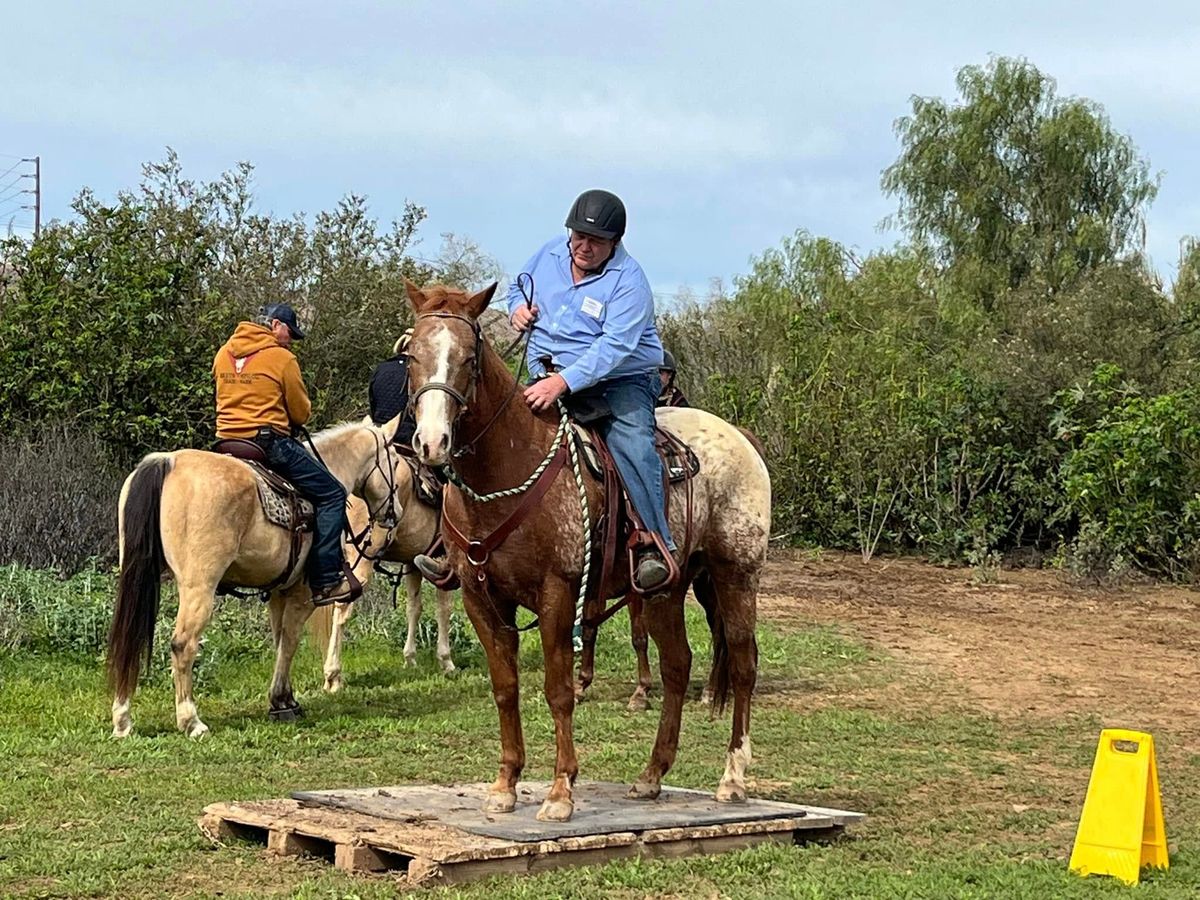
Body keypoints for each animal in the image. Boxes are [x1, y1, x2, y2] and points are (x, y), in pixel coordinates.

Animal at [108, 417, 408, 739]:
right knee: (182, 645)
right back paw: (191, 721)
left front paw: (286, 699)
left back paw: (123, 719)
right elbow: (290, 640)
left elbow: (279, 642)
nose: (397, 512)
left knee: (129, 638)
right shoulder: (302, 594)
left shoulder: (279, 592)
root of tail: (168, 461)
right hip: (199, 587)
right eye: (394, 461)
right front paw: (281, 701)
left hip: (137, 578)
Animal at [403, 283, 768, 825]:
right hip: (664, 589)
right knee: (677, 666)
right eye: (411, 355)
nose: (432, 443)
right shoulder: (480, 598)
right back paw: (651, 775)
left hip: (735, 574)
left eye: (469, 358)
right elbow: (505, 688)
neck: (508, 471)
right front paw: (505, 784)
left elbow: (558, 691)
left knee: (743, 664)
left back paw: (732, 778)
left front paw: (560, 791)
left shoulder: (558, 593)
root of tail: (740, 437)